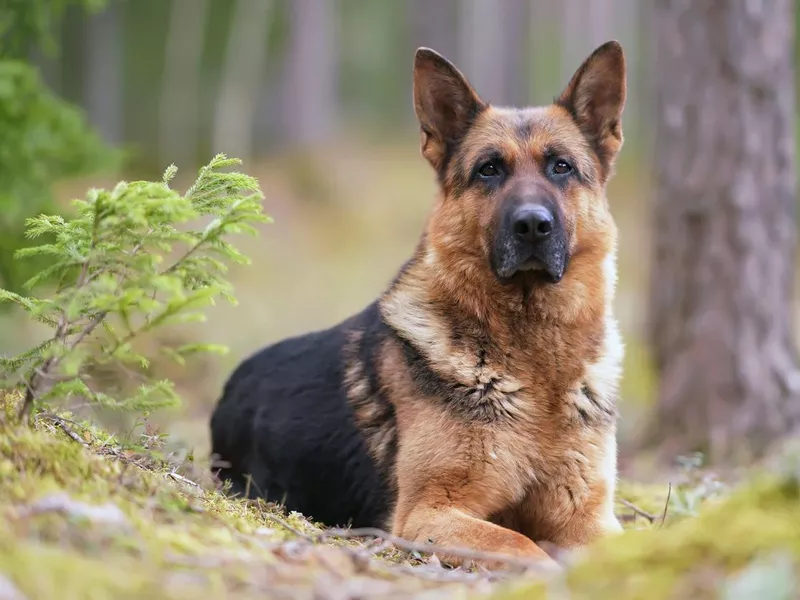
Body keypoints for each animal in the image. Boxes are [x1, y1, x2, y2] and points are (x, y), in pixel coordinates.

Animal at [209, 41, 628, 568]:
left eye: (561, 167)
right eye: (490, 169)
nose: (532, 225)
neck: (533, 359)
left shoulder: (588, 518)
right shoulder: (428, 513)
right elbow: (524, 545)